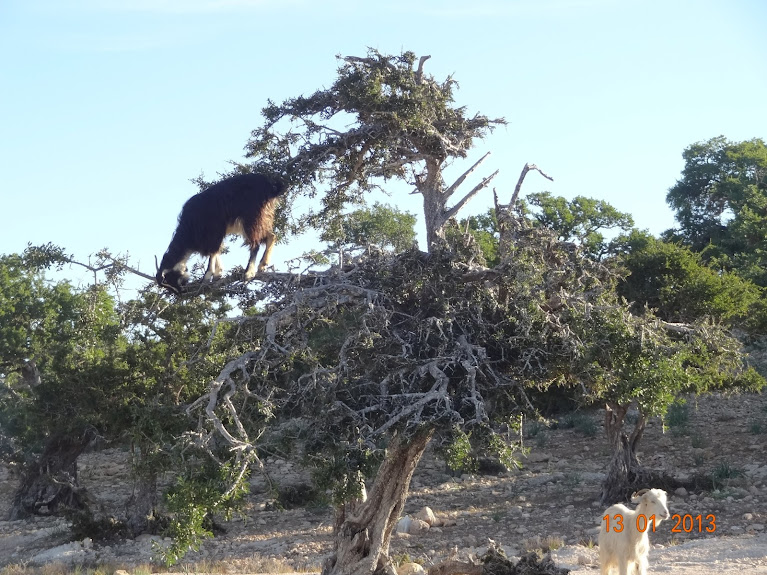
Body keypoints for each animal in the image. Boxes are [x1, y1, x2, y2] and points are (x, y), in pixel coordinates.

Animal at [156, 173, 284, 294]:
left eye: (172, 279)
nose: (182, 293)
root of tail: (270, 186)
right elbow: (217, 250)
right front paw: (218, 273)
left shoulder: (214, 231)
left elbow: (213, 252)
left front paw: (207, 278)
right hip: (260, 218)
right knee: (271, 236)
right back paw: (262, 264)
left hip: (251, 217)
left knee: (255, 244)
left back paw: (249, 272)